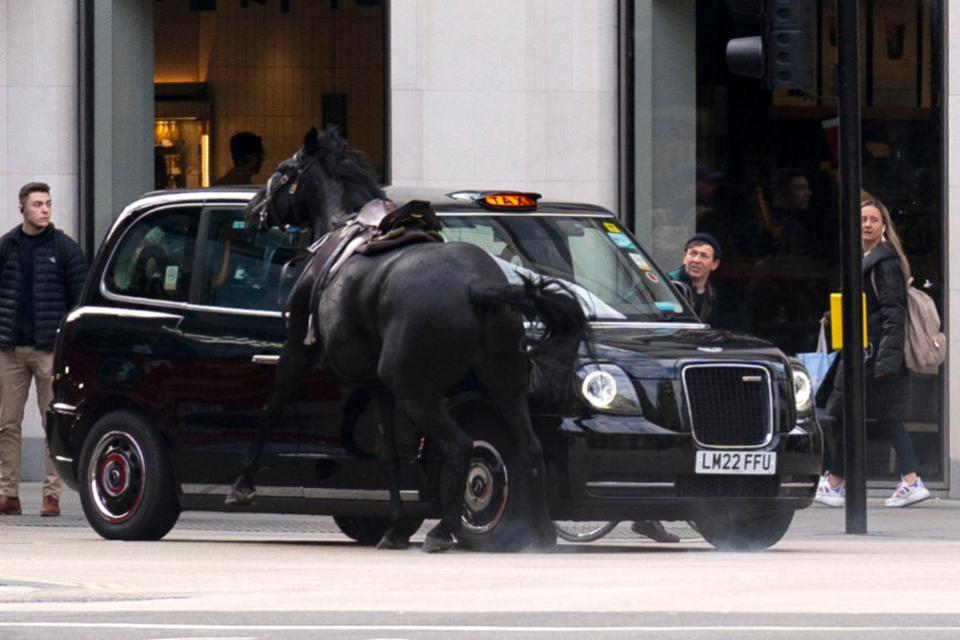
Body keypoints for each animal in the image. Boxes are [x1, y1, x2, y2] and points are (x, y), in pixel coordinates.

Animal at [228, 129, 584, 552]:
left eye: (283, 170)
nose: (252, 209)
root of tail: (475, 287)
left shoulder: (298, 349)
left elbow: (271, 409)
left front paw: (242, 483)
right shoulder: (377, 385)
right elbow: (388, 455)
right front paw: (396, 526)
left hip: (417, 391)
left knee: (461, 446)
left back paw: (443, 530)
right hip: (505, 383)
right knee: (529, 447)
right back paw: (542, 533)